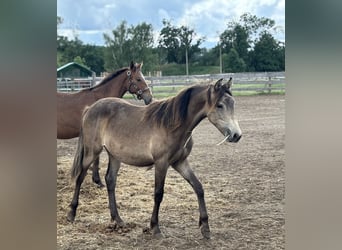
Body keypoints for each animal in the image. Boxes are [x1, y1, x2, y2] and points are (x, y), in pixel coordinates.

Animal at [67, 78, 242, 238]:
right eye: (220, 105)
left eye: (233, 103)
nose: (236, 135)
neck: (173, 124)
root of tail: (90, 108)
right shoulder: (161, 163)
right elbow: (158, 194)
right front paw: (154, 227)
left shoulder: (180, 162)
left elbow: (198, 187)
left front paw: (205, 226)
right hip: (91, 152)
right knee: (80, 177)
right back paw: (71, 214)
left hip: (115, 155)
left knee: (110, 181)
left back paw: (117, 219)